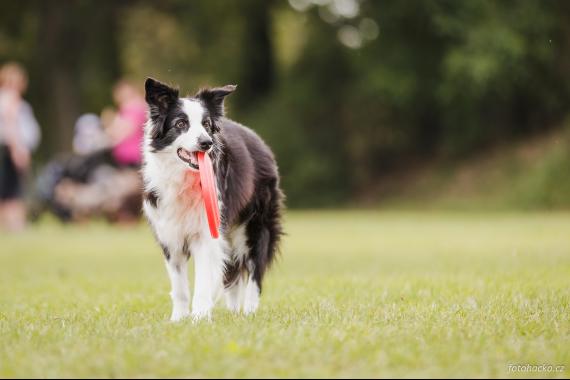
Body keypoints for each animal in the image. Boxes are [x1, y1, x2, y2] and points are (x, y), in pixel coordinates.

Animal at [143, 78, 282, 322]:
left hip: (256, 225)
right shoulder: (170, 236)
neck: (184, 177)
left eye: (206, 124)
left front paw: (199, 318)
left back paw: (249, 312)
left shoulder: (206, 233)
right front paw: (178, 320)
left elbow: (203, 282)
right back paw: (234, 313)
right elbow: (180, 287)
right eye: (181, 124)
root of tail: (259, 141)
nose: (206, 143)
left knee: (254, 271)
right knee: (232, 270)